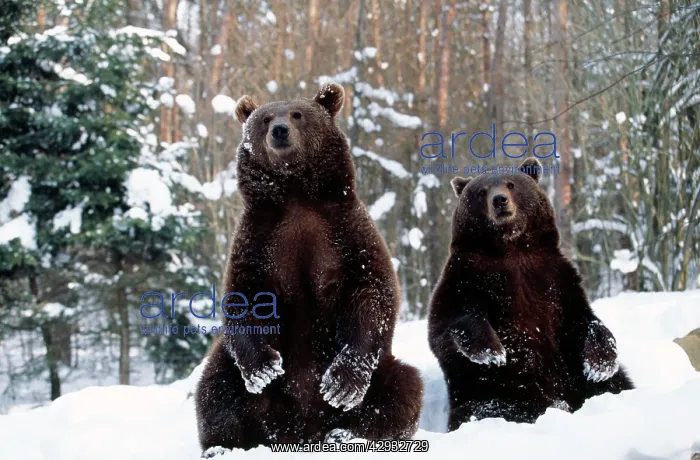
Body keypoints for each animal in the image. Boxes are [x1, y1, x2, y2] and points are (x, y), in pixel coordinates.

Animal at [194, 82, 423, 453]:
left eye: (297, 114)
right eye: (265, 118)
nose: (279, 130)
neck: (296, 194)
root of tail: (301, 431)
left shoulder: (345, 233)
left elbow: (372, 293)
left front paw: (340, 384)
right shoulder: (259, 240)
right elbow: (243, 297)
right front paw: (263, 368)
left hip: (383, 371)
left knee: (403, 387)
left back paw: (349, 433)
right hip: (243, 383)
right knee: (216, 387)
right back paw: (221, 445)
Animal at [428, 157, 633, 431]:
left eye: (511, 184)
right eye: (481, 191)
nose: (499, 200)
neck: (512, 248)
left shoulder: (555, 278)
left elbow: (584, 320)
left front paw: (600, 365)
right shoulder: (468, 275)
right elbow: (451, 321)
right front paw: (493, 352)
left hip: (572, 376)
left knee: (616, 384)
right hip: (498, 390)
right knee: (491, 407)